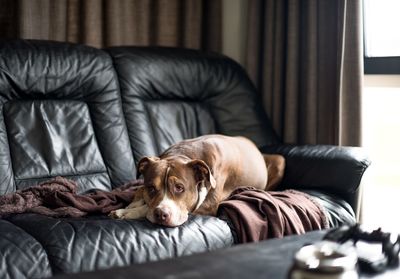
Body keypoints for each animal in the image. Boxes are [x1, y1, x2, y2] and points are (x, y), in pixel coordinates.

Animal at [109, 135, 284, 229]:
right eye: (151, 187)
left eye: (179, 188)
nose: (161, 214)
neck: (184, 154)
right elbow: (140, 191)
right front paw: (132, 205)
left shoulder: (207, 206)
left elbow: (146, 208)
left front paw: (127, 211)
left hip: (280, 161)